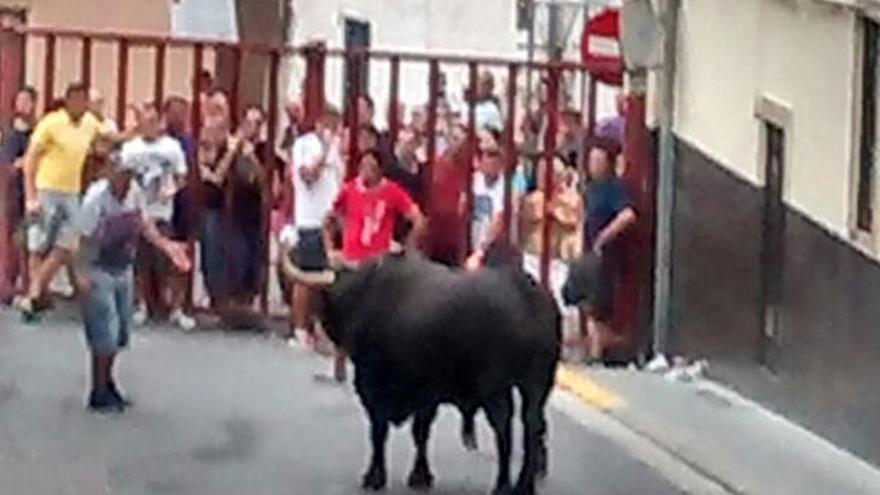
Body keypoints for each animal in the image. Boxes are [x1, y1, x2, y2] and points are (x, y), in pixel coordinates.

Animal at [290, 254, 564, 494]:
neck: (363, 295)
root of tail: (528, 296)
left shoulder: (373, 386)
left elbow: (379, 432)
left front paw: (374, 476)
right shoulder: (427, 395)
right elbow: (420, 433)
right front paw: (420, 475)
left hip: (495, 388)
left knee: (504, 429)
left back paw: (503, 485)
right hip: (538, 384)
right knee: (533, 426)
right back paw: (524, 484)